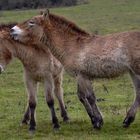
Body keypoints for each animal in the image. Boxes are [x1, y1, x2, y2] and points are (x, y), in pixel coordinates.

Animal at [10, 9, 140, 130]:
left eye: (31, 22)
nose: (12, 30)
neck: (73, 46)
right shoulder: (80, 77)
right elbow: (82, 96)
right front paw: (94, 120)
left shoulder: (83, 76)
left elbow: (90, 97)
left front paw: (98, 122)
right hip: (133, 72)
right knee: (138, 93)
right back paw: (127, 120)